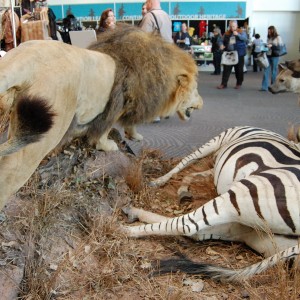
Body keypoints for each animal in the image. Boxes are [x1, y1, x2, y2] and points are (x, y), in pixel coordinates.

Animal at [0, 24, 204, 210]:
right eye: (195, 90)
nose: (202, 104)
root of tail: (23, 61)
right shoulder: (119, 104)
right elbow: (103, 131)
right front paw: (107, 145)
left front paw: (133, 135)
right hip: (45, 127)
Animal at [122, 125, 300, 280]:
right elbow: (196, 174)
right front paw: (182, 190)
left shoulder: (221, 137)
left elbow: (187, 161)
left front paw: (159, 181)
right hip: (258, 233)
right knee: (203, 231)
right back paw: (134, 214)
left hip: (244, 194)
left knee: (187, 225)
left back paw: (124, 229)